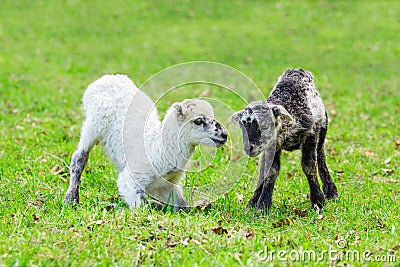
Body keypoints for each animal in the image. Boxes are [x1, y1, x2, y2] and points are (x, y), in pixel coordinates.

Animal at [65, 74, 228, 210]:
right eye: (198, 121)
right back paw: (71, 199)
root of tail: (106, 78)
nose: (224, 135)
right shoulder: (132, 179)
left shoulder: (166, 185)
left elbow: (182, 206)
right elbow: (141, 206)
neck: (159, 146)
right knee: (79, 157)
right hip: (94, 123)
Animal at [231, 68, 338, 215]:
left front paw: (318, 202)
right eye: (242, 126)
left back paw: (331, 191)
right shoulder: (272, 146)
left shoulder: (311, 135)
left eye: (265, 125)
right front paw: (261, 206)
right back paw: (252, 202)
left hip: (322, 128)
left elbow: (309, 166)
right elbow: (271, 171)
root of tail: (298, 70)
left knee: (321, 158)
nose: (249, 148)